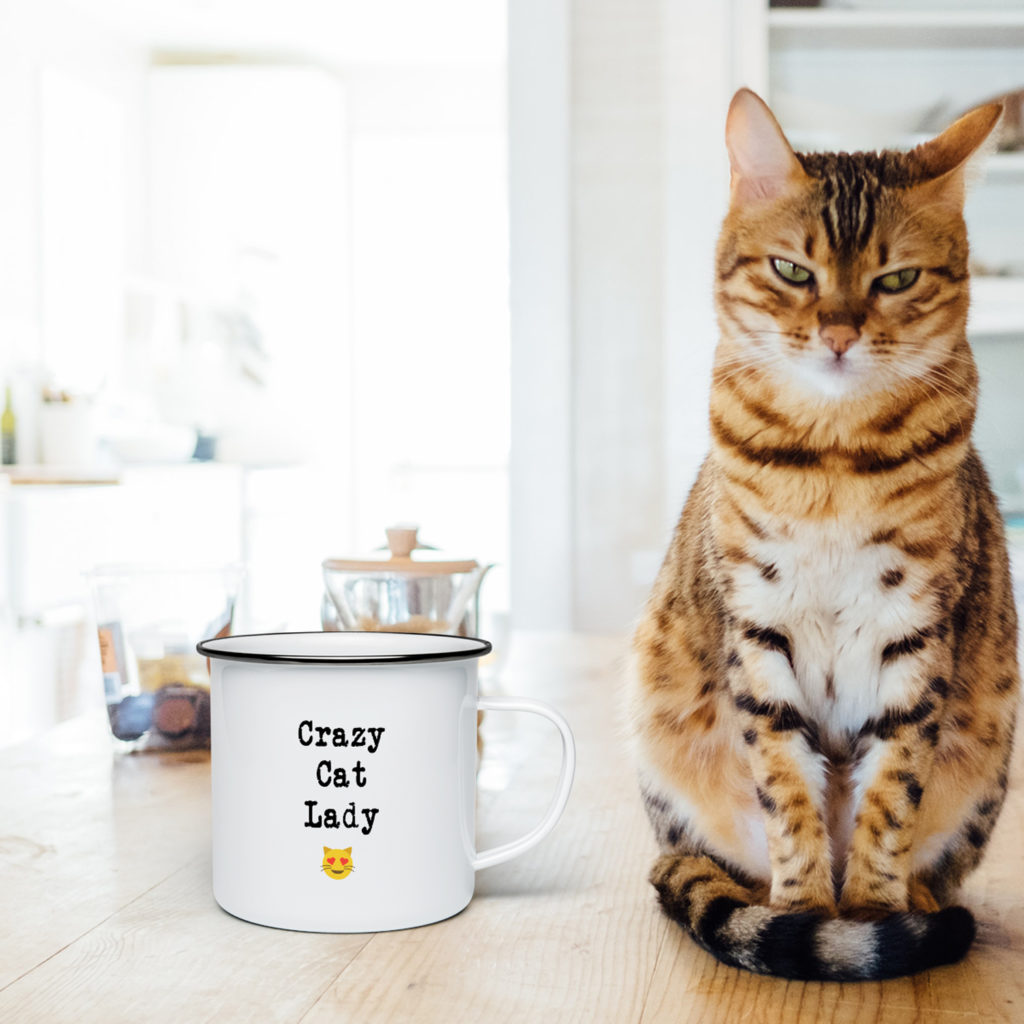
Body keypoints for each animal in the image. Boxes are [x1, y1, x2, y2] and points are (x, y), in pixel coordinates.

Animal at [626, 90, 1019, 983]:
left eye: (896, 279)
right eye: (793, 272)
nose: (839, 333)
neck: (835, 461)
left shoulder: (916, 632)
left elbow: (891, 792)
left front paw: (871, 910)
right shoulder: (758, 626)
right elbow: (786, 788)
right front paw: (806, 911)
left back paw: (919, 905)